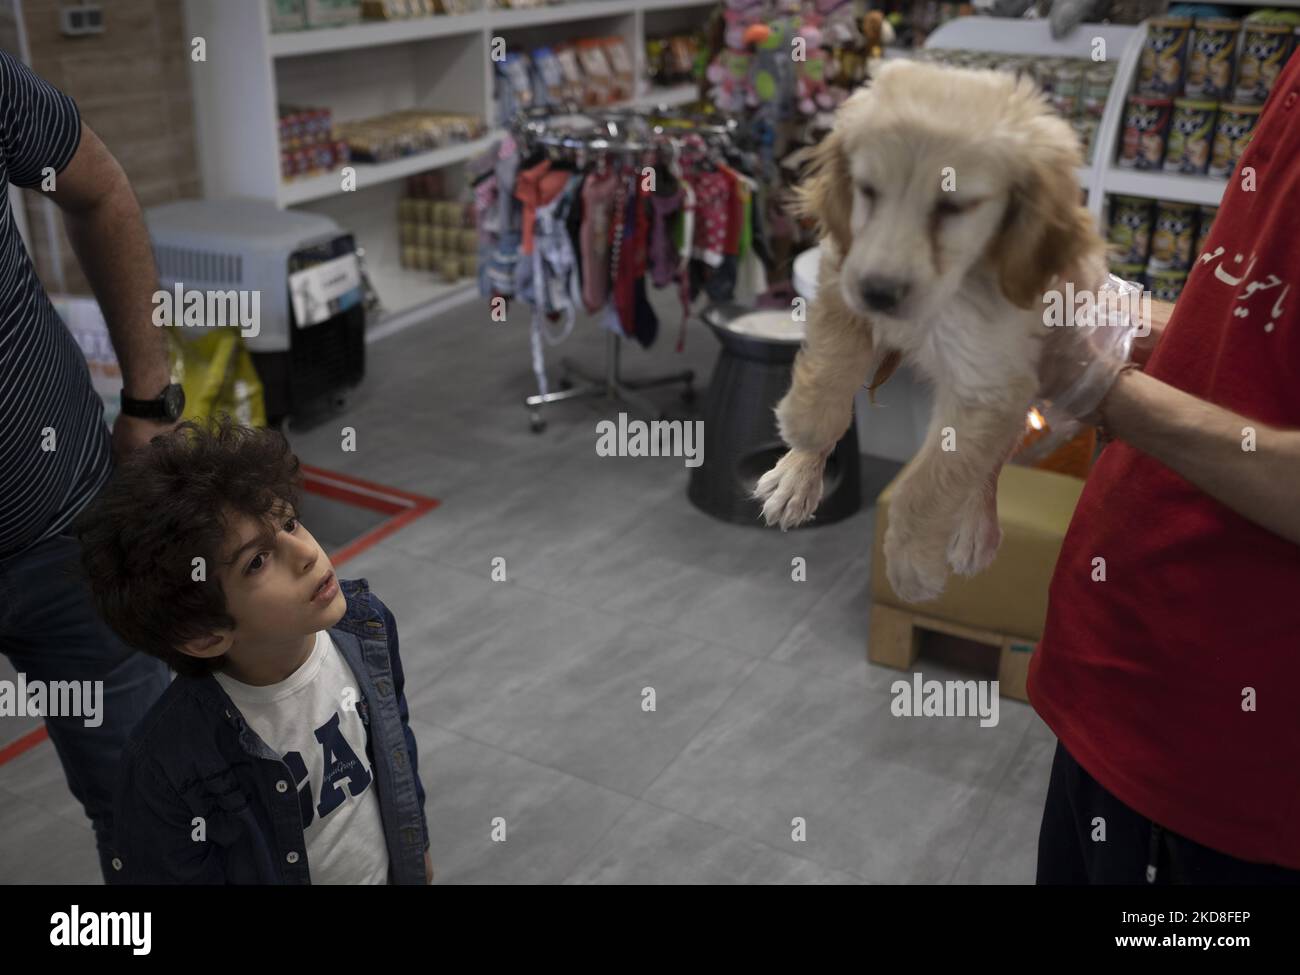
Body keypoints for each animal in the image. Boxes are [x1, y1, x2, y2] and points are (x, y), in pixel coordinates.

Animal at [759, 59, 1112, 603]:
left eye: (953, 208)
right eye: (867, 191)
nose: (879, 293)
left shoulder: (990, 379)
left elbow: (932, 482)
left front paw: (912, 565)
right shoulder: (842, 273)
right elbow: (832, 363)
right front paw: (805, 432)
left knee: (991, 462)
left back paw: (975, 530)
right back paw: (793, 480)